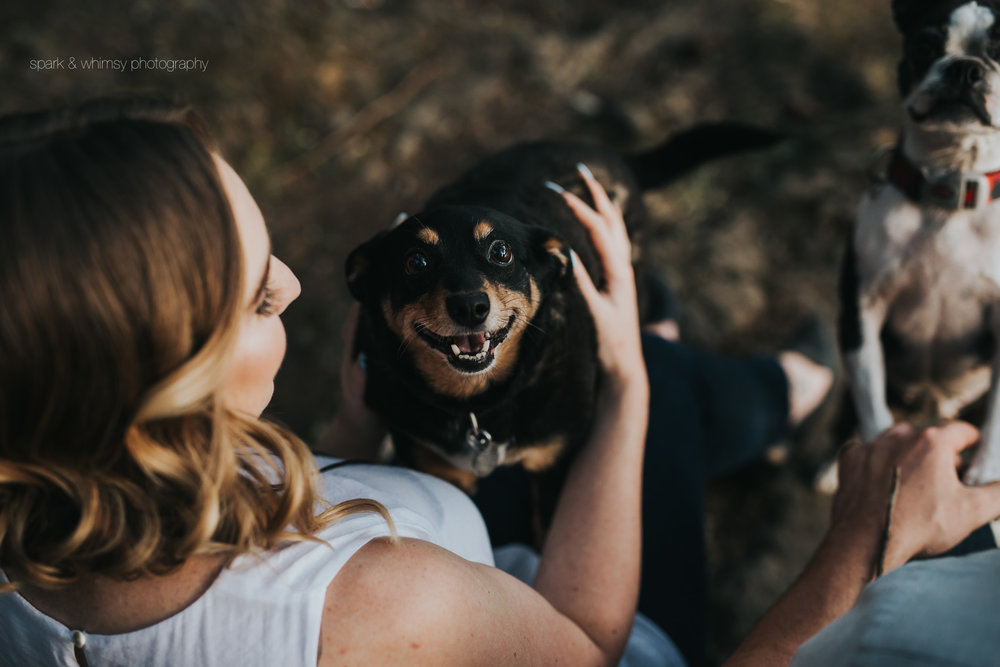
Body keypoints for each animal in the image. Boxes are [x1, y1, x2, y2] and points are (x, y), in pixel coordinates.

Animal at [348, 124, 776, 496]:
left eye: (500, 251)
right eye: (415, 262)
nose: (470, 307)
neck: (476, 408)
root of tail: (612, 155)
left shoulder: (554, 464)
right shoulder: (438, 473)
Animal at [848, 1, 1000, 506]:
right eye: (925, 46)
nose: (965, 68)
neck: (951, 188)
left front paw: (984, 476)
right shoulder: (861, 309)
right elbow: (870, 398)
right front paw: (877, 467)